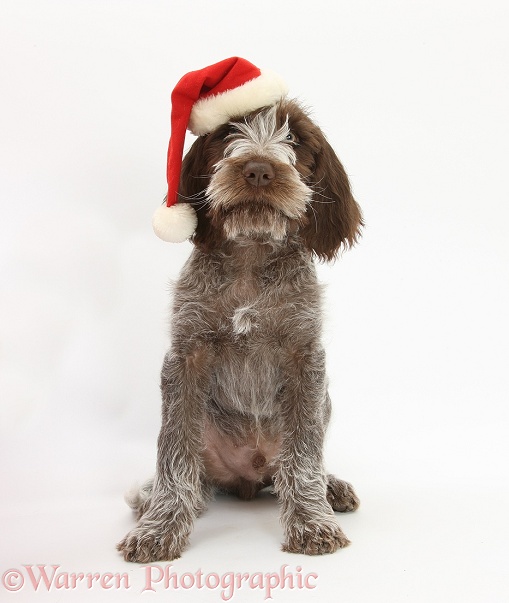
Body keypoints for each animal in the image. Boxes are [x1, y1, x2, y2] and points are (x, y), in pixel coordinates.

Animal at [116, 96, 362, 564]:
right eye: (229, 131)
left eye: (294, 137)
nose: (259, 170)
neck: (251, 252)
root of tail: (251, 476)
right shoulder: (186, 356)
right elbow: (174, 454)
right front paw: (161, 527)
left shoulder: (304, 357)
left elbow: (304, 456)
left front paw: (312, 521)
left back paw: (331, 486)